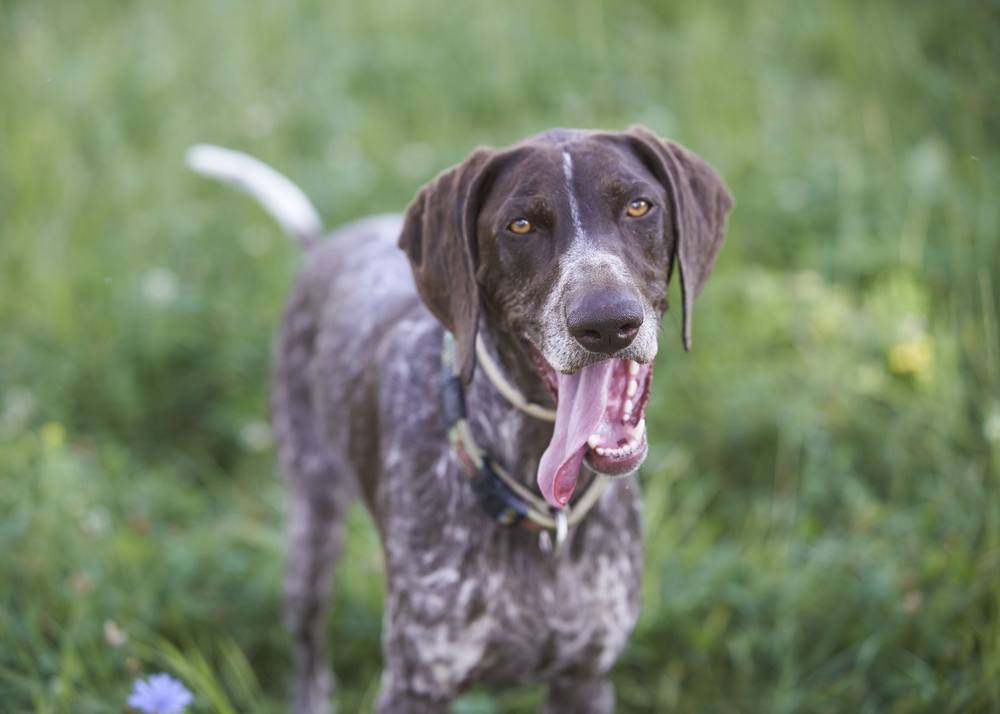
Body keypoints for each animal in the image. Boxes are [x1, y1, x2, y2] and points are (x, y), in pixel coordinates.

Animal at [189, 128, 736, 712]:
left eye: (638, 206)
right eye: (520, 225)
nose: (607, 322)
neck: (534, 503)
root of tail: (327, 246)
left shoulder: (584, 679)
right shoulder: (415, 686)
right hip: (310, 529)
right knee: (310, 647)